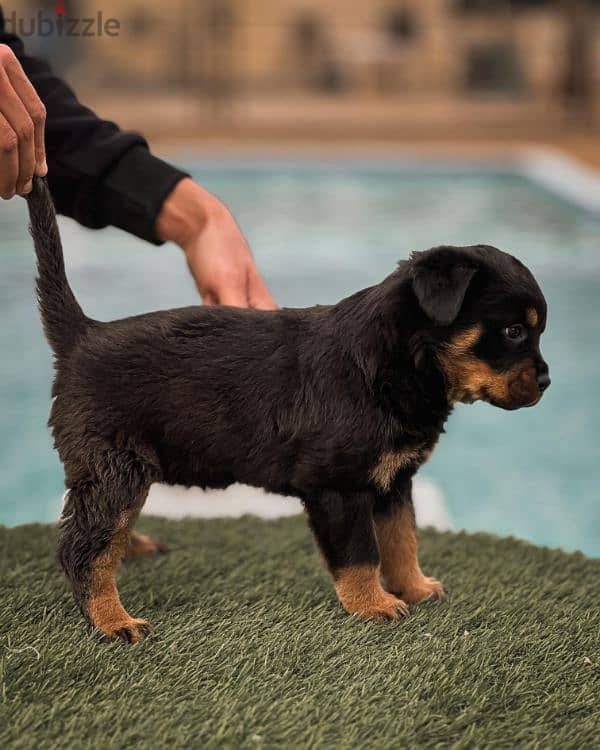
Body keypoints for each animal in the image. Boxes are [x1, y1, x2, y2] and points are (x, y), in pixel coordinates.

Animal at [23, 178, 548, 648]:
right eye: (514, 332)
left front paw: (415, 588)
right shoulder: (339, 485)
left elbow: (402, 538)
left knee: (99, 528)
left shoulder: (394, 480)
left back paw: (131, 551)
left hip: (122, 468)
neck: (395, 364)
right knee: (83, 548)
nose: (545, 381)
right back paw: (114, 620)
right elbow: (362, 553)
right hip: (117, 464)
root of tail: (83, 334)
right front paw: (374, 604)